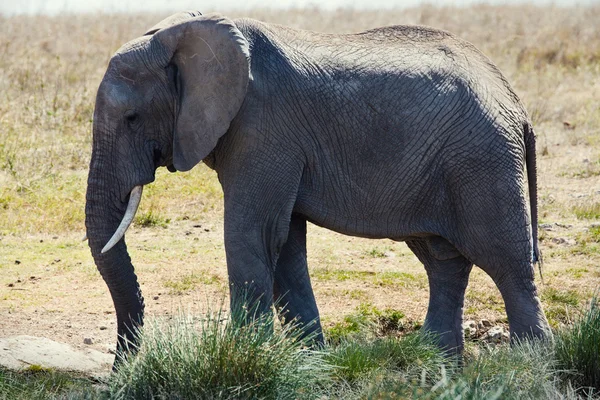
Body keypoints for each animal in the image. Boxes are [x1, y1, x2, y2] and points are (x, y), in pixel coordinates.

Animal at [85, 10, 552, 360]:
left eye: (132, 118)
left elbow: (251, 234)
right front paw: (309, 363)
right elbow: (286, 244)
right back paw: (439, 364)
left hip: (483, 160)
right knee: (443, 261)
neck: (181, 33)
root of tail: (516, 103)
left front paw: (245, 358)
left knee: (507, 264)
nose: (120, 370)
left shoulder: (263, 127)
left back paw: (532, 366)